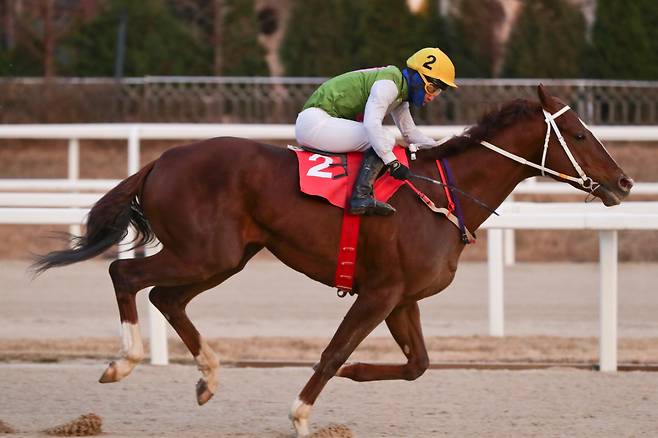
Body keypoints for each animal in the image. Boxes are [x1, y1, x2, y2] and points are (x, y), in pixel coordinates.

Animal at [36, 84, 632, 434]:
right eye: (579, 133)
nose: (624, 182)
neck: (442, 195)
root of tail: (160, 160)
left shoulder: (402, 298)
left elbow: (417, 364)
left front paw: (359, 374)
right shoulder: (379, 293)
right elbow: (333, 352)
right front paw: (301, 414)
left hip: (223, 258)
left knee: (164, 296)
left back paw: (207, 376)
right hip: (205, 252)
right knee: (125, 273)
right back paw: (123, 361)